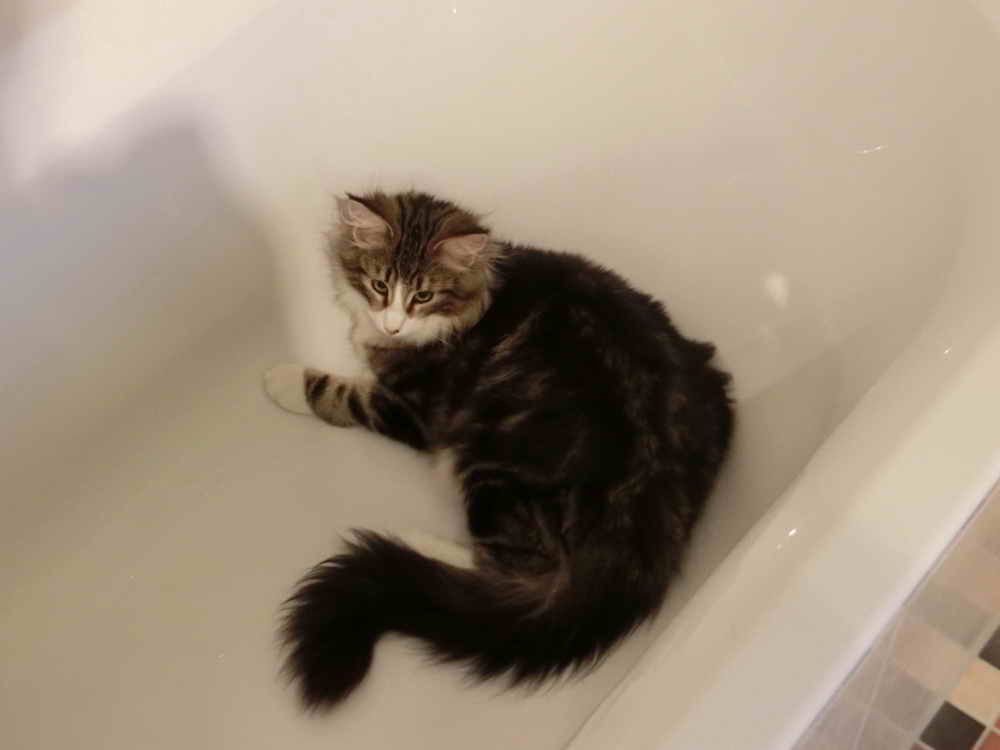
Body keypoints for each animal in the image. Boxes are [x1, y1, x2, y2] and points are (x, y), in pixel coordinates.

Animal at [263, 190, 734, 709]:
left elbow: (339, 393)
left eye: (424, 296)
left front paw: (284, 380)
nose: (392, 327)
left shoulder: (410, 408)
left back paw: (413, 544)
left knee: (506, 571)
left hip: (494, 462)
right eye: (380, 284)